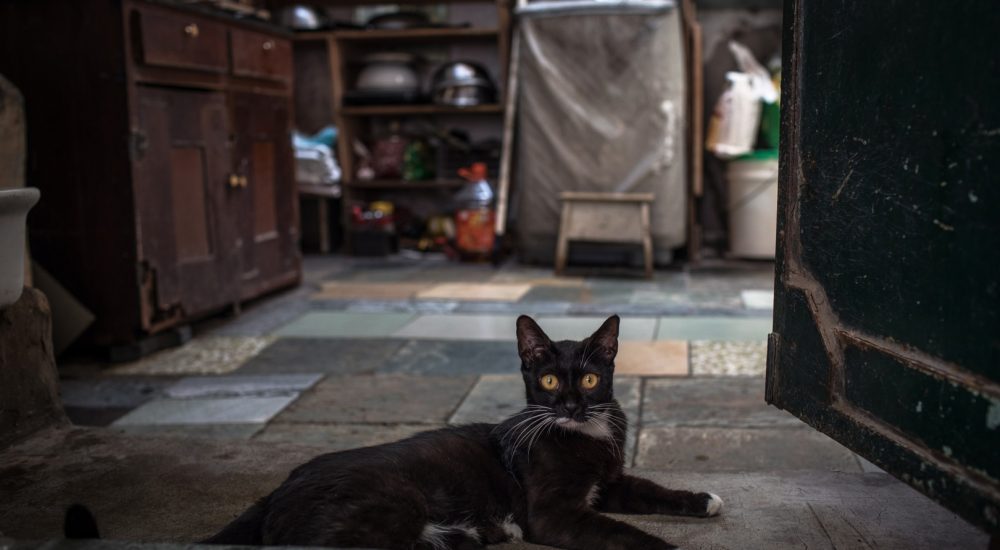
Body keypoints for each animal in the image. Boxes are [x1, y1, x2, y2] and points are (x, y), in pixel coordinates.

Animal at [205, 314, 723, 550]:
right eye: (549, 381)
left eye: (592, 380)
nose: (571, 404)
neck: (585, 434)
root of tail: (277, 489)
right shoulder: (553, 513)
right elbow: (617, 530)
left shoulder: (610, 482)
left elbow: (651, 489)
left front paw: (702, 500)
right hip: (391, 502)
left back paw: (476, 534)